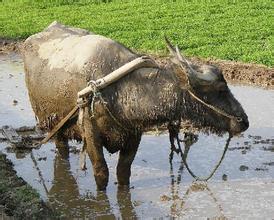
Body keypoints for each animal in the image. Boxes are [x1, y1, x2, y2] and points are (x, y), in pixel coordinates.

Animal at [21, 22, 248, 191]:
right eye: (220, 89)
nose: (244, 121)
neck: (120, 92)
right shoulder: (90, 133)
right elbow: (102, 173)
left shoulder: (134, 134)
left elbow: (123, 172)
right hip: (53, 124)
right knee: (62, 151)